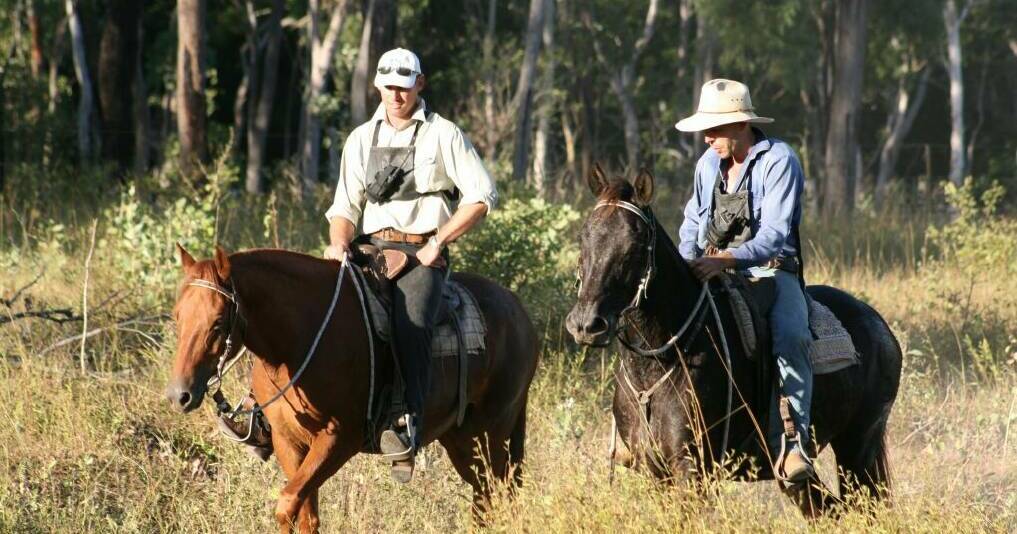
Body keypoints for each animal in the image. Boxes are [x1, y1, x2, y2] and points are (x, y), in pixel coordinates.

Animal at [166, 245, 541, 528]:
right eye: (177, 315)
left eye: (217, 323)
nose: (178, 395)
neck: (299, 340)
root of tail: (520, 311)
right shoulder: (289, 442)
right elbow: (304, 514)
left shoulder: (339, 439)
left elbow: (286, 505)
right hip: (462, 440)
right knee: (484, 499)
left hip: (492, 435)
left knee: (497, 497)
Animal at [565, 167, 907, 516]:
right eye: (584, 237)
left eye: (634, 245)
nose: (587, 324)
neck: (661, 359)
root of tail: (880, 326)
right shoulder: (655, 470)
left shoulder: (693, 469)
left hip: (859, 447)